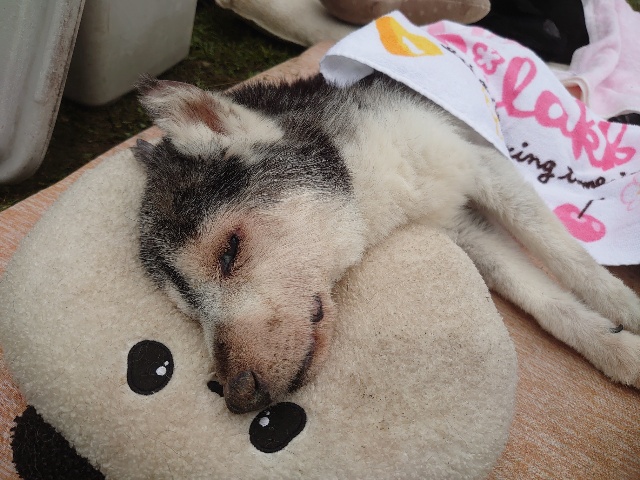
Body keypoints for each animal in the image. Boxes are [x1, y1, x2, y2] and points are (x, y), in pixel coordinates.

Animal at [133, 73, 640, 414]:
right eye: (189, 309)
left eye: (229, 252)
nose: (238, 396)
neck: (373, 167)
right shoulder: (462, 226)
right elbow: (542, 298)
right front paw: (616, 347)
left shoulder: (483, 164)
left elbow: (570, 258)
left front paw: (628, 311)